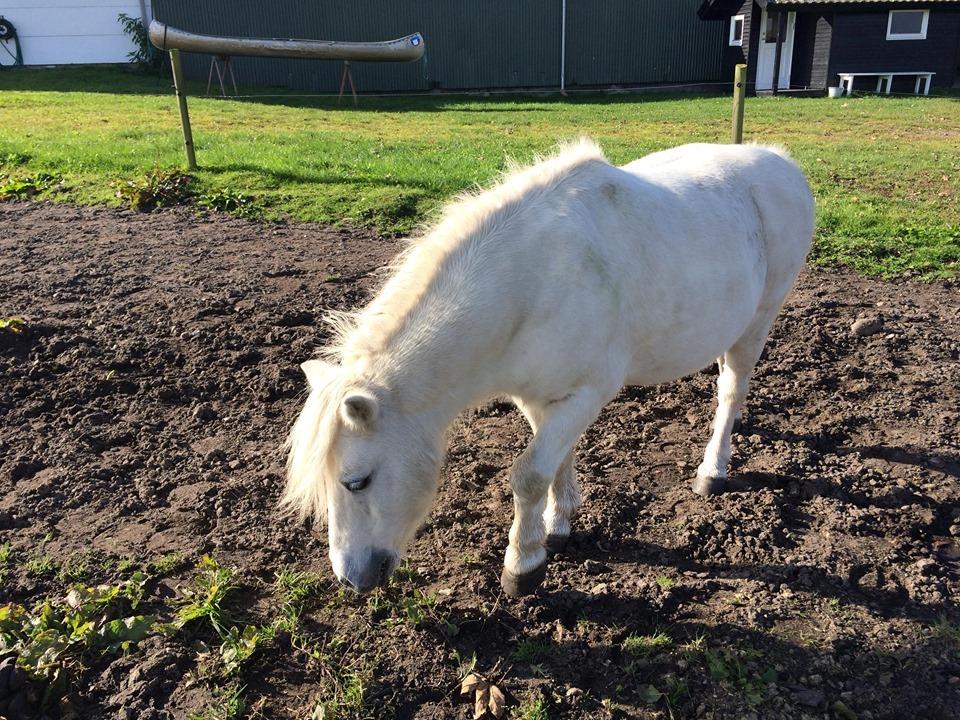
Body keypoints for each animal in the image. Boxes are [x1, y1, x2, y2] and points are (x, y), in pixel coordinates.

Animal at [284, 141, 808, 596]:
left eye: (357, 481)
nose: (351, 577)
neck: (531, 283)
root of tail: (780, 162)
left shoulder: (587, 393)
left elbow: (530, 475)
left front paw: (524, 564)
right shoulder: (538, 396)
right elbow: (556, 461)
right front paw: (559, 524)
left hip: (760, 319)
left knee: (731, 392)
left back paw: (713, 469)